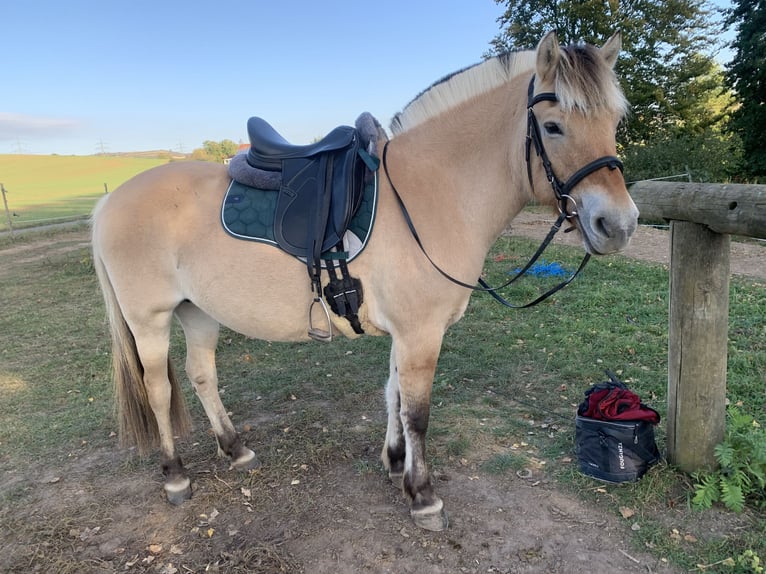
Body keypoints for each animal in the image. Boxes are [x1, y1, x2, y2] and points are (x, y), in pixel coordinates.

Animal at [91, 31, 640, 532]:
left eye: (615, 123)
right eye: (553, 126)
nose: (619, 225)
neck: (428, 194)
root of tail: (109, 200)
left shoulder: (407, 333)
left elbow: (393, 394)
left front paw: (396, 464)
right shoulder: (421, 334)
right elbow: (417, 412)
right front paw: (424, 496)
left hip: (198, 311)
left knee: (201, 374)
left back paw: (235, 449)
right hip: (149, 319)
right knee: (158, 389)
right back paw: (175, 475)